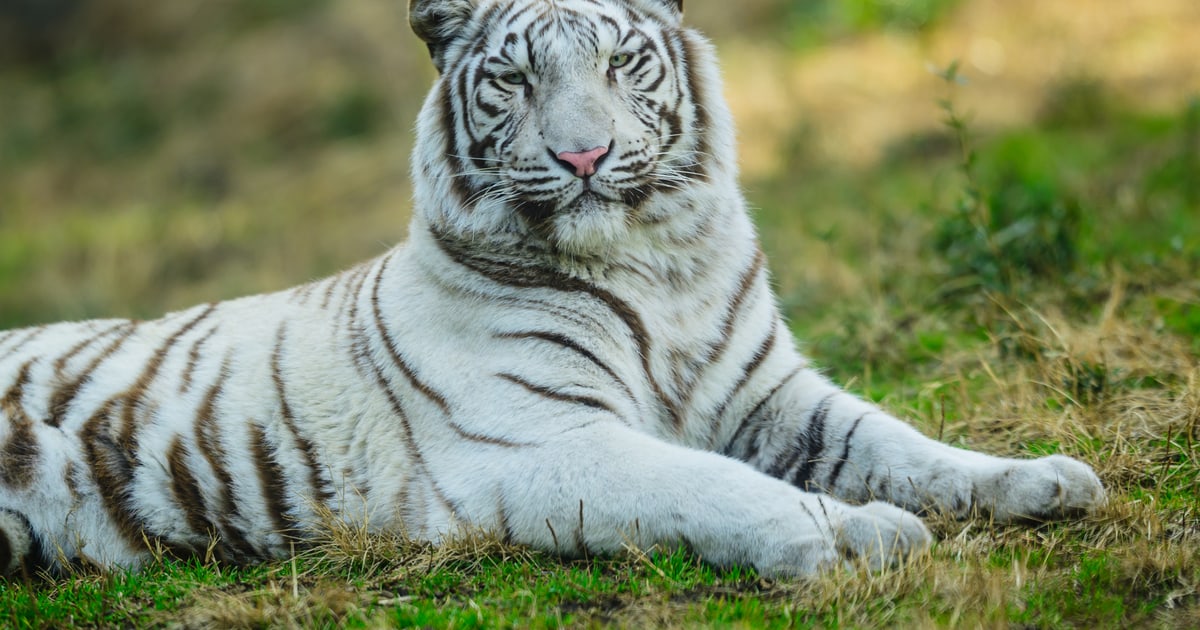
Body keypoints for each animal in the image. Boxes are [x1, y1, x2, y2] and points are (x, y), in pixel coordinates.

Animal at [0, 0, 1105, 579]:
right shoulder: (541, 443)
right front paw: (859, 533)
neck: (655, 267)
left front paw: (1042, 479)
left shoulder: (771, 395)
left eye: (621, 63)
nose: (584, 155)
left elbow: (903, 446)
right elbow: (722, 486)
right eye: (515, 79)